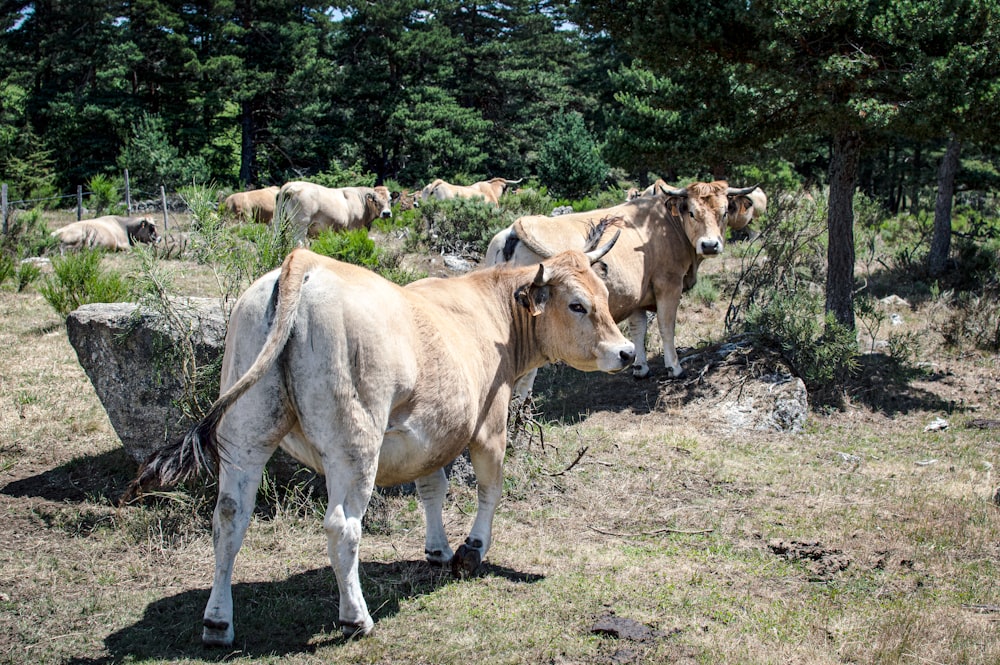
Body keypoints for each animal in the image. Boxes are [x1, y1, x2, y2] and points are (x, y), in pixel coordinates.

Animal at [119, 239, 632, 644]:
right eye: (577, 304)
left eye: (605, 296)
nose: (627, 352)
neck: (491, 314)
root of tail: (303, 262)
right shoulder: (488, 424)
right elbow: (490, 488)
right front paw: (471, 549)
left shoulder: (433, 431)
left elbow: (431, 488)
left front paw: (437, 549)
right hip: (354, 445)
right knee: (342, 526)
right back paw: (356, 618)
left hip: (245, 433)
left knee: (229, 517)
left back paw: (217, 622)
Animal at [486, 179, 756, 392]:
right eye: (691, 212)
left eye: (724, 212)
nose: (710, 245)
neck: (666, 224)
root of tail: (514, 229)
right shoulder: (668, 284)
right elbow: (666, 326)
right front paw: (675, 367)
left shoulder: (636, 295)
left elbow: (638, 329)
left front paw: (640, 367)